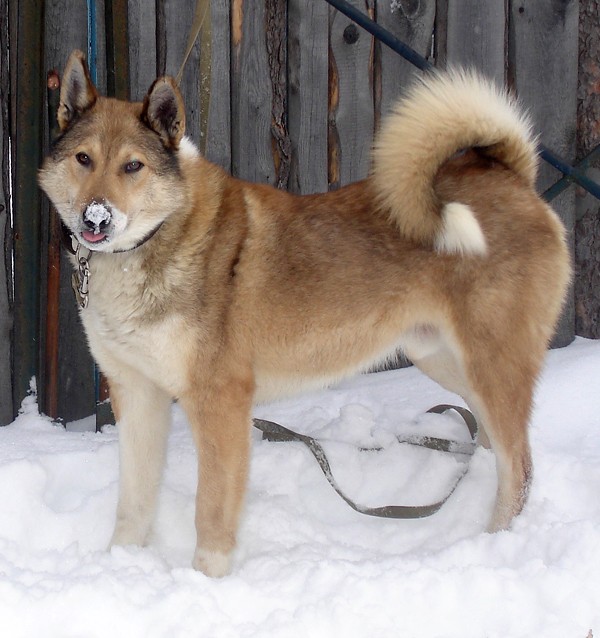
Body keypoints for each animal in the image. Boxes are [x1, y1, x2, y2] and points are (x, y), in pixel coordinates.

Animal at [39, 50, 571, 577]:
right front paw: (120, 563)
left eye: (133, 166)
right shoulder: (137, 393)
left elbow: (211, 511)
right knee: (492, 445)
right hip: (443, 360)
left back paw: (493, 543)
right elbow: (133, 501)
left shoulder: (219, 401)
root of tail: (510, 174)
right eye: (84, 159)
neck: (149, 245)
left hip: (491, 366)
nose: (95, 218)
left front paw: (204, 581)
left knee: (519, 466)